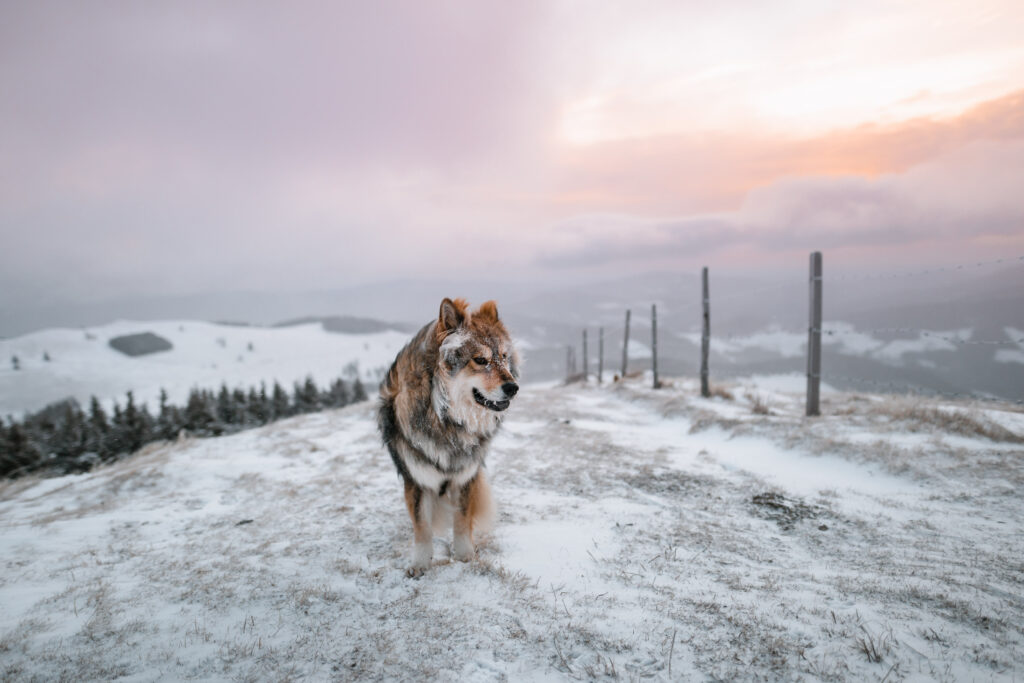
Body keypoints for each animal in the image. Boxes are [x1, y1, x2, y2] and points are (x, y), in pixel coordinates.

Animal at [378, 296, 520, 577]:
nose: (513, 388)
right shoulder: (417, 479)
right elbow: (422, 527)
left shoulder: (466, 476)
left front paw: (465, 556)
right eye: (480, 360)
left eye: (503, 357)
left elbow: (462, 521)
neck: (445, 420)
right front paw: (420, 564)